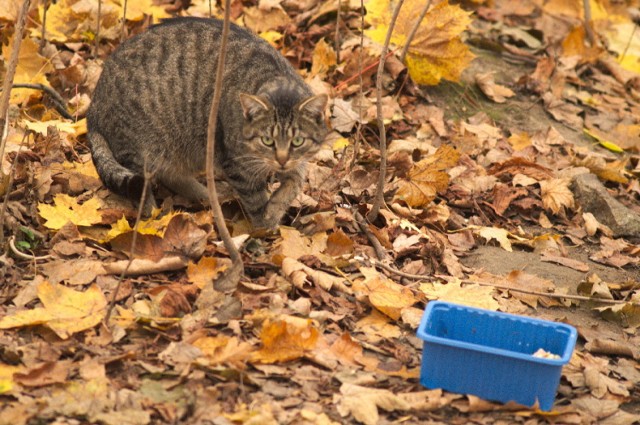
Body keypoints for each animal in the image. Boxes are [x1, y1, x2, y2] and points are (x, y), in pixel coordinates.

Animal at [87, 16, 328, 229]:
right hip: (144, 151)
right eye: (267, 140)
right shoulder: (237, 165)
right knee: (143, 189)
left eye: (297, 141)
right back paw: (154, 217)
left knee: (172, 176)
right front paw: (265, 227)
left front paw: (276, 208)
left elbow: (294, 183)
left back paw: (209, 197)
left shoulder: (298, 162)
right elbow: (256, 200)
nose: (282, 160)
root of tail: (94, 104)